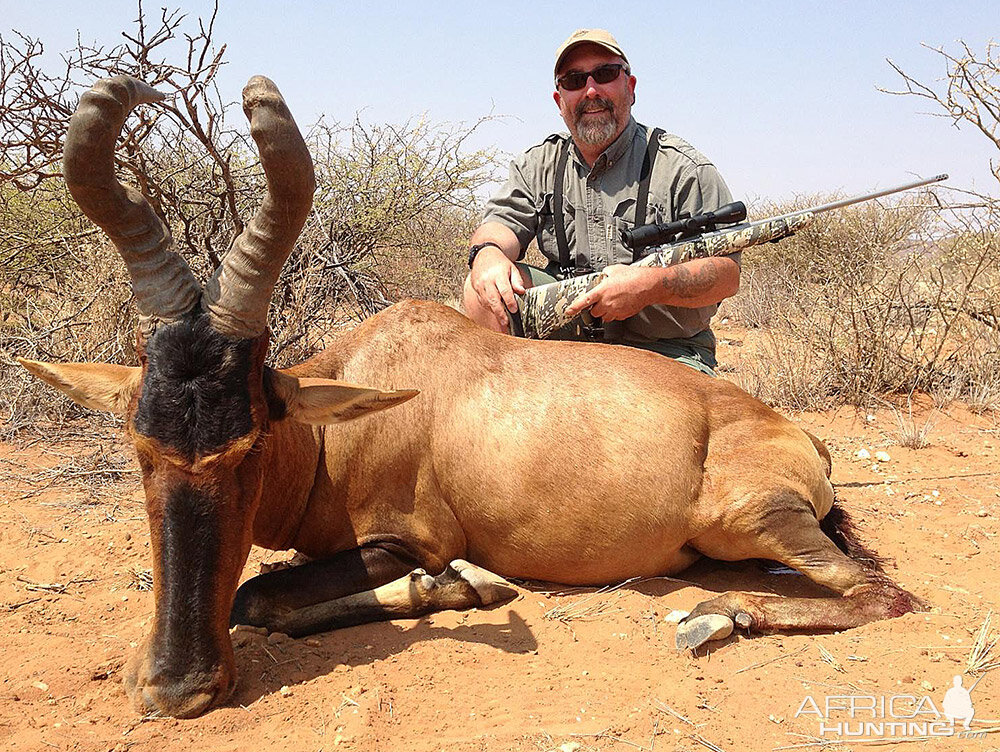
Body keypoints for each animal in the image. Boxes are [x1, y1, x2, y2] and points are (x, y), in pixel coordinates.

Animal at [17, 75, 920, 716]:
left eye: (250, 441)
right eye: (140, 445)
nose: (175, 690)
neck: (340, 425)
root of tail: (802, 437)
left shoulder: (406, 536)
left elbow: (256, 594)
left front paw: (464, 586)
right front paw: (458, 588)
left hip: (754, 520)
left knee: (883, 593)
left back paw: (714, 617)